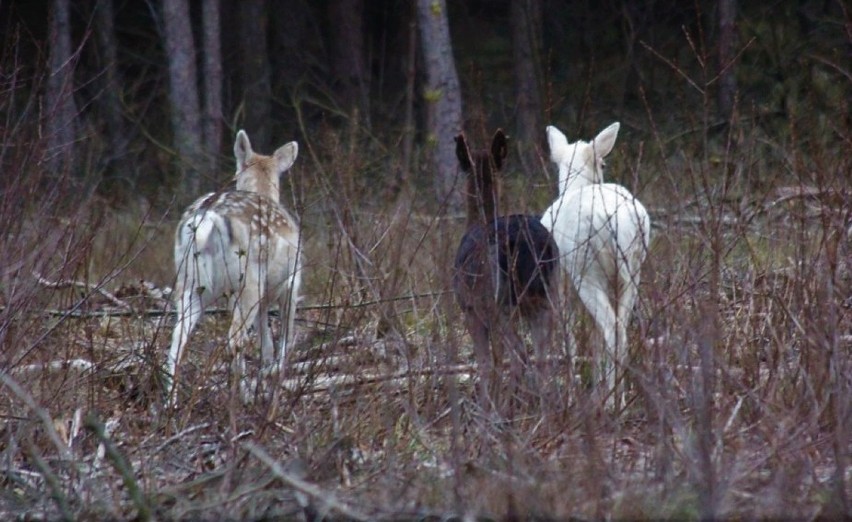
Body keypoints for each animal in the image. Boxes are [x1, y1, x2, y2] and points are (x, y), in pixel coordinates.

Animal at [166, 128, 302, 404]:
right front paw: (273, 376)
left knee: (177, 340)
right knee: (234, 338)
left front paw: (266, 375)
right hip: (248, 279)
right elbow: (285, 339)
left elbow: (266, 342)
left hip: (189, 281)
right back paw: (243, 396)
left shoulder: (261, 298)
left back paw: (170, 404)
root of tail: (207, 218)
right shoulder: (292, 282)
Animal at [452, 127, 560, 406]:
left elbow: (486, 362)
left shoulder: (469, 308)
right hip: (548, 296)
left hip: (496, 301)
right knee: (543, 356)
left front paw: (484, 402)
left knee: (519, 353)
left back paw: (506, 406)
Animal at [540, 123, 652, 410]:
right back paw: (619, 397)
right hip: (632, 271)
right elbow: (592, 335)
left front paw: (572, 394)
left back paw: (611, 402)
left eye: (603, 162)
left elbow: (569, 333)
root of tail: (616, 223)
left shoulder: (560, 280)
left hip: (585, 271)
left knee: (611, 329)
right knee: (620, 329)